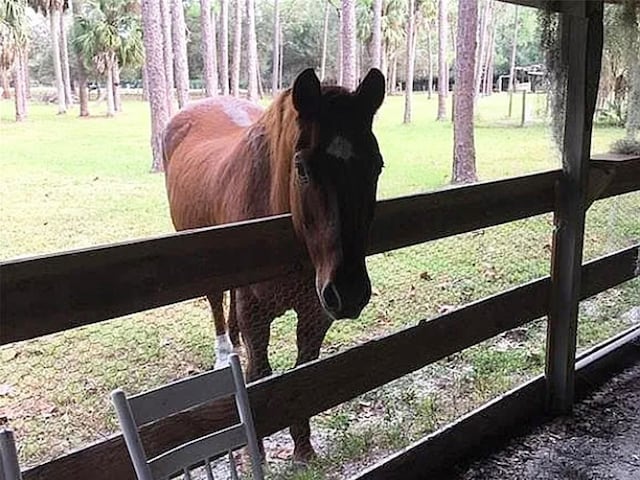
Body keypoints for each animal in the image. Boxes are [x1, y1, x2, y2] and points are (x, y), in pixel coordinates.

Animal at [162, 68, 388, 462]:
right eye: (303, 168)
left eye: (376, 165)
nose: (349, 292)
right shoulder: (257, 316)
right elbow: (261, 375)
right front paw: (257, 451)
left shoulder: (315, 313)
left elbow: (303, 374)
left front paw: (303, 448)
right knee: (217, 304)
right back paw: (225, 353)